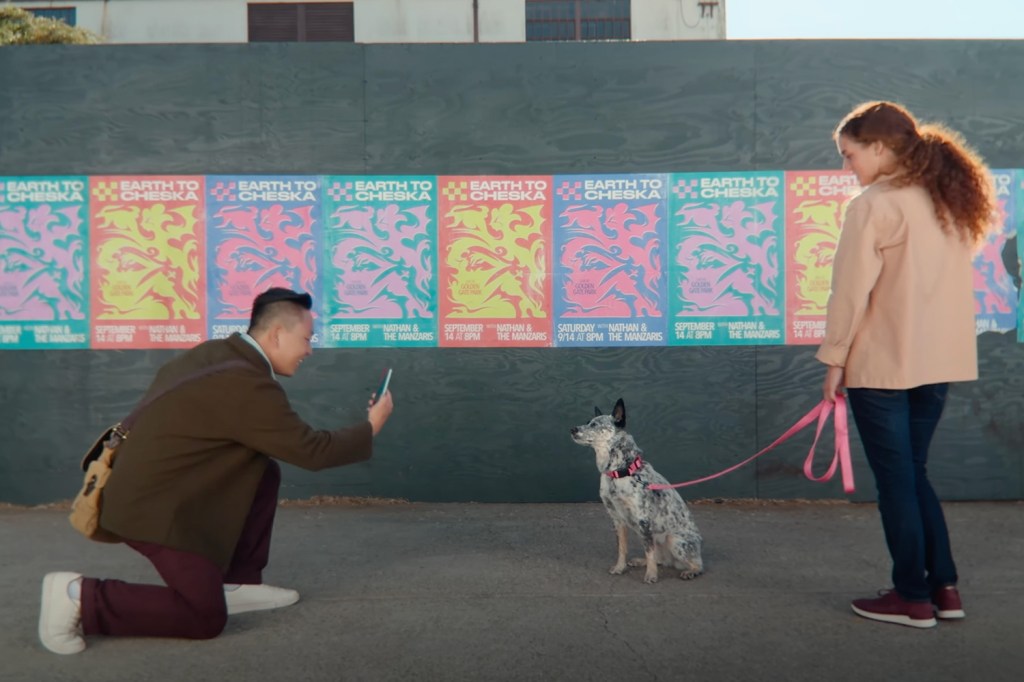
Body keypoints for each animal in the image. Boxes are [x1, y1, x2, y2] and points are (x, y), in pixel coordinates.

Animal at [569, 395, 704, 581]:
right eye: (588, 421)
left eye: (595, 425)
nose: (572, 429)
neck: (619, 472)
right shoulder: (617, 518)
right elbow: (622, 549)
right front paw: (620, 568)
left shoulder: (643, 519)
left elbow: (649, 551)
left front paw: (651, 575)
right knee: (658, 557)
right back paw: (641, 561)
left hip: (673, 539)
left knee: (697, 564)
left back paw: (690, 571)